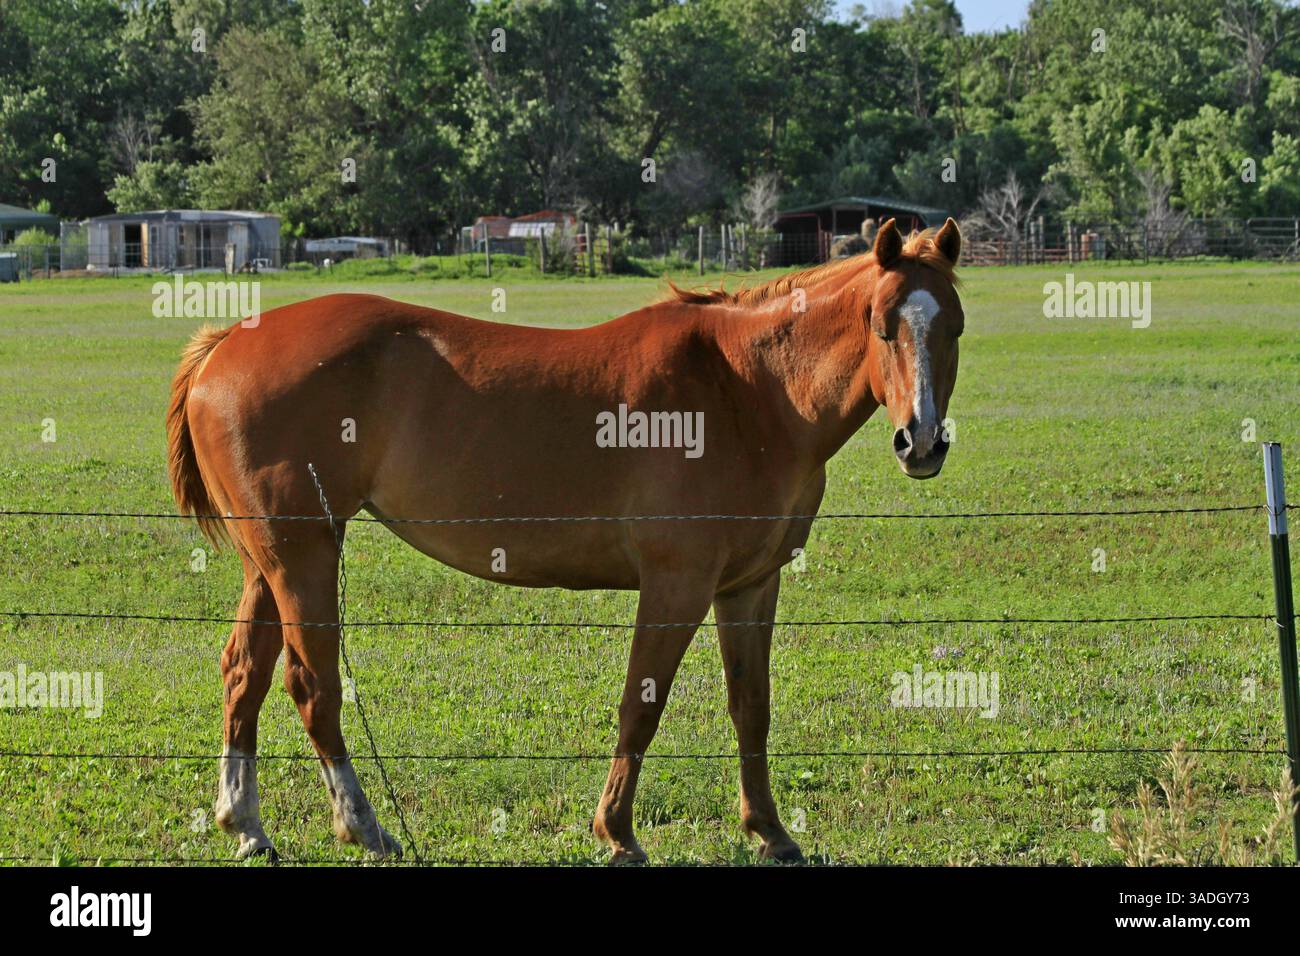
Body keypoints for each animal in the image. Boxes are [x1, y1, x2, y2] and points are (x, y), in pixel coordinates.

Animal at [166, 216, 963, 864]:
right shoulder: (677, 582)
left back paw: (246, 824)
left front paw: (770, 831)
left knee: (245, 673)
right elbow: (642, 702)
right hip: (303, 557)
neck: (747, 390)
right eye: (882, 325)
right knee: (313, 685)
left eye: (951, 326)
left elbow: (751, 705)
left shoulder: (747, 586)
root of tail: (223, 347)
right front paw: (617, 831)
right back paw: (362, 825)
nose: (921, 441)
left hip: (271, 563)